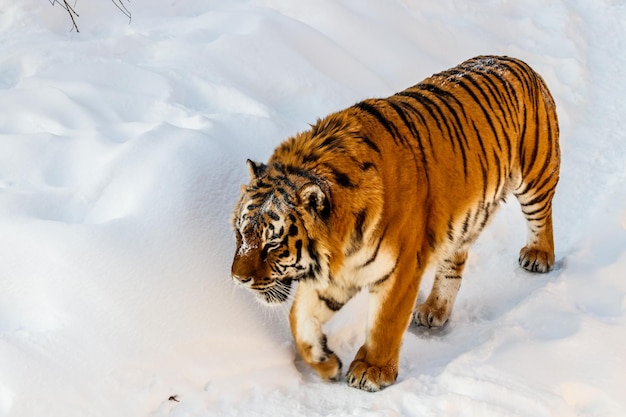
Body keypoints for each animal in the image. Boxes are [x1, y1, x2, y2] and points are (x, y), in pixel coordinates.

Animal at [230, 54, 560, 390]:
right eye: (241, 235)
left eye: (273, 243)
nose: (238, 279)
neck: (342, 244)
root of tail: (514, 60)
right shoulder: (338, 273)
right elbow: (299, 319)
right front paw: (326, 364)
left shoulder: (401, 268)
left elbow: (384, 323)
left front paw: (372, 370)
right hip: (464, 220)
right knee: (454, 261)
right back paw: (434, 309)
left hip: (536, 175)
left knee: (542, 216)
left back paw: (538, 256)